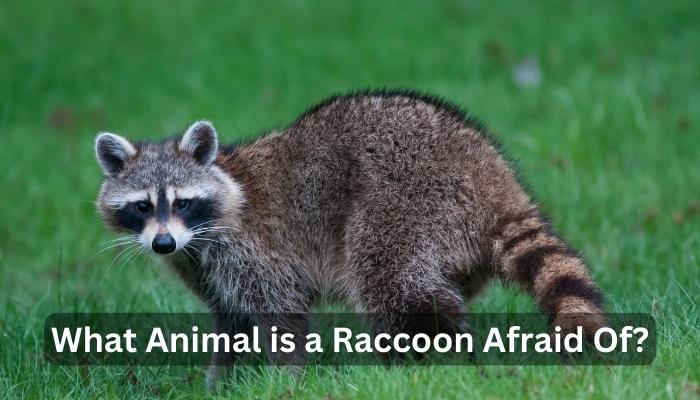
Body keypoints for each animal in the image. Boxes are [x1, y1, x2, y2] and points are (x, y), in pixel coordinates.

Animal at [95, 90, 606, 383]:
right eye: (142, 207)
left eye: (182, 202)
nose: (162, 244)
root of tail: (491, 178)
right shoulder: (203, 264)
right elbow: (231, 321)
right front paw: (219, 382)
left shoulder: (253, 251)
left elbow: (282, 314)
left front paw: (287, 382)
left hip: (404, 204)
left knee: (396, 290)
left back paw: (420, 371)